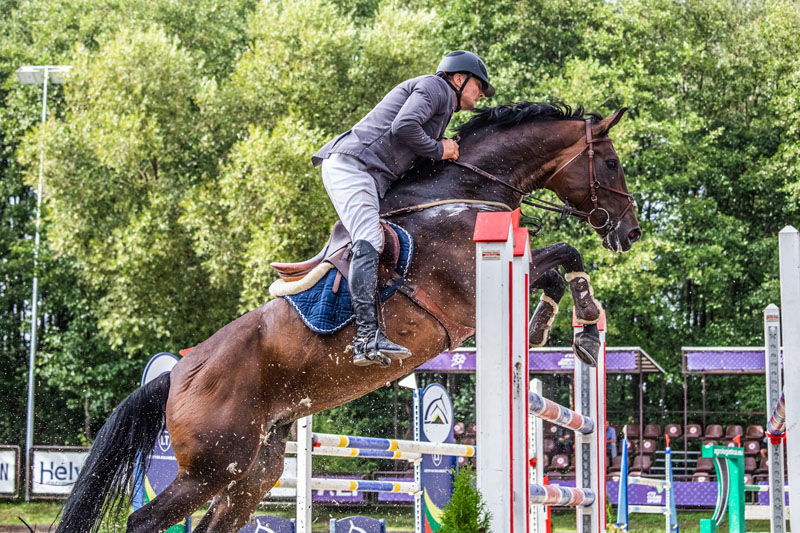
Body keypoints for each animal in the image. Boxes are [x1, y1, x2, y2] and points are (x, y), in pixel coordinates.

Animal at [56, 102, 640, 528]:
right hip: (210, 468)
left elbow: (561, 264)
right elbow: (562, 256)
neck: (463, 193)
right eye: (611, 163)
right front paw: (575, 326)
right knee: (145, 522)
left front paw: (565, 331)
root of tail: (178, 372)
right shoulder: (474, 288)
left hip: (255, 470)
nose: (629, 232)